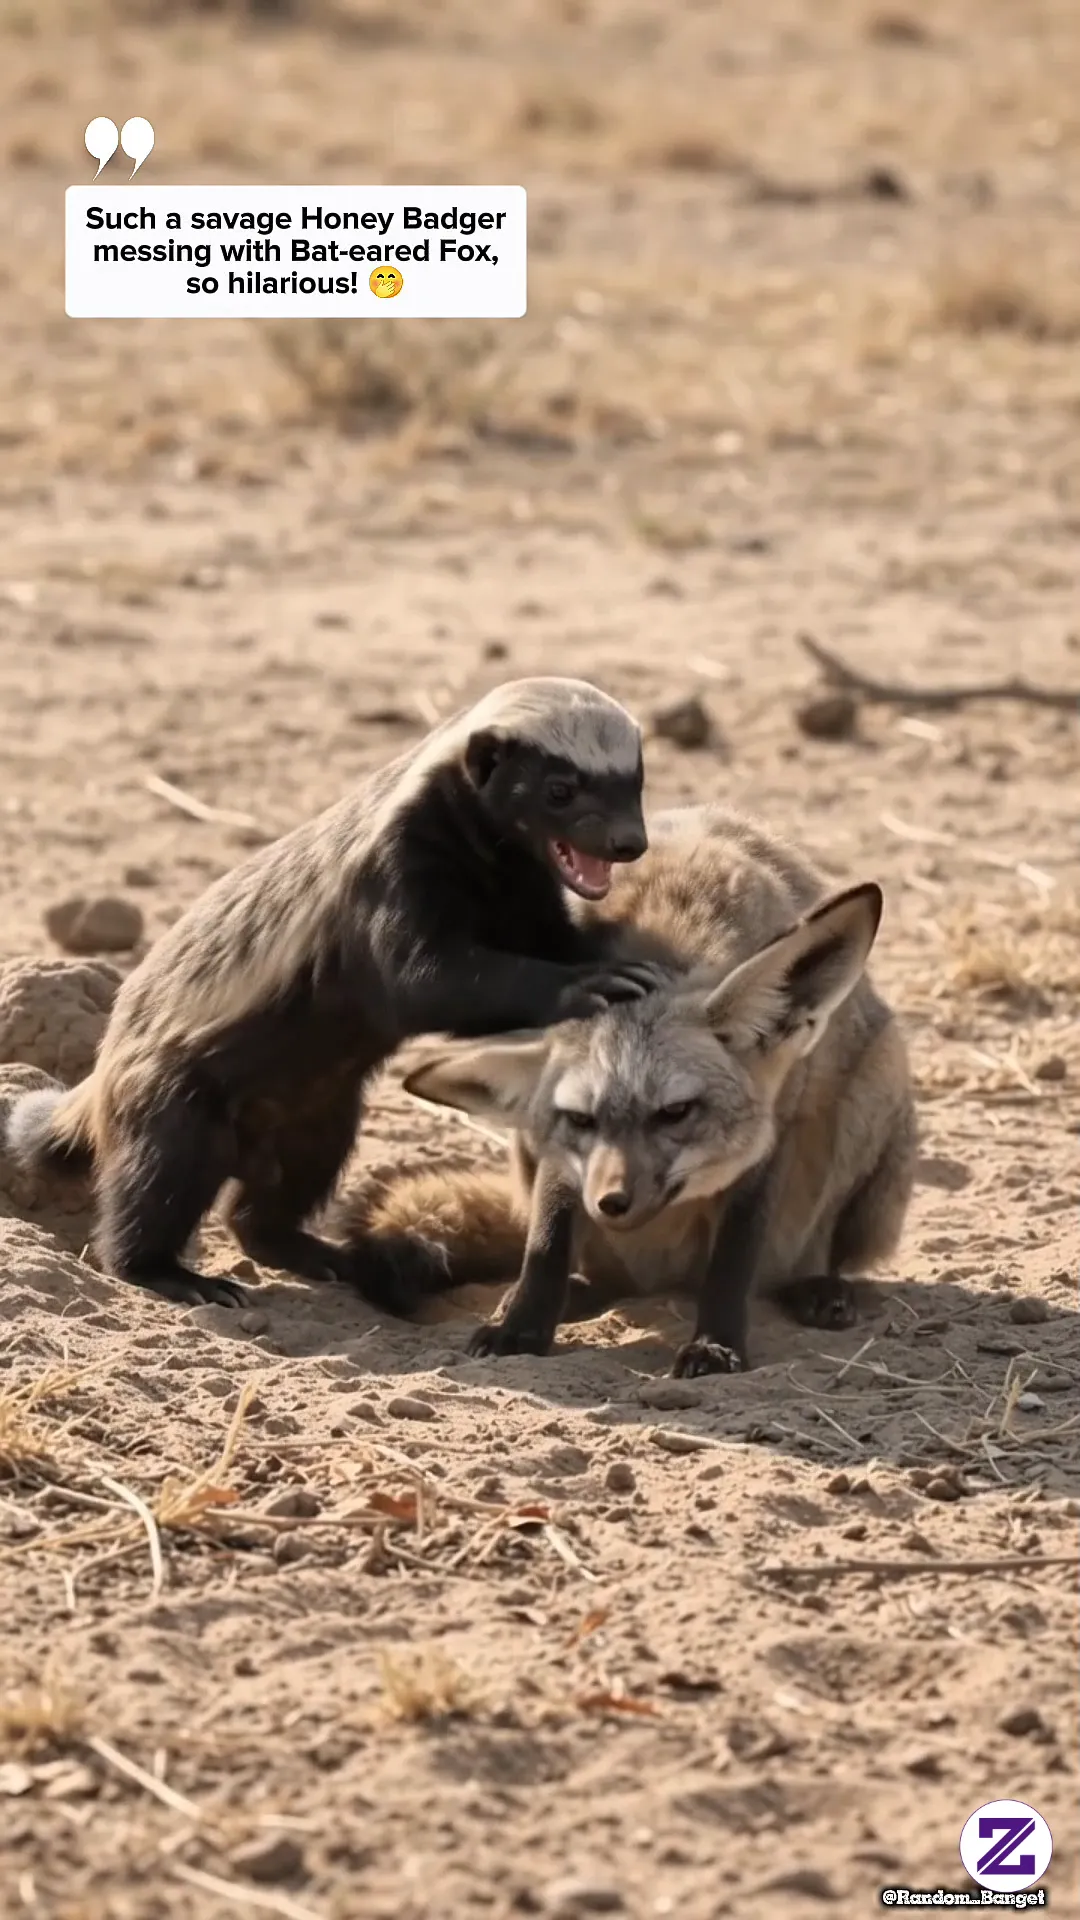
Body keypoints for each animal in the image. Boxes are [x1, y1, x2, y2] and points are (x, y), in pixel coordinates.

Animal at [337, 805, 917, 1376]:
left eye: (676, 1111)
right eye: (581, 1119)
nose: (610, 1202)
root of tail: (665, 1280)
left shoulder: (770, 1137)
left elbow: (734, 1258)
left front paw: (716, 1343)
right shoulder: (559, 1153)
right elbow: (546, 1241)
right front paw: (520, 1327)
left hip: (875, 1092)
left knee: (803, 1259)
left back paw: (817, 1287)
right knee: (601, 1277)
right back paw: (577, 1291)